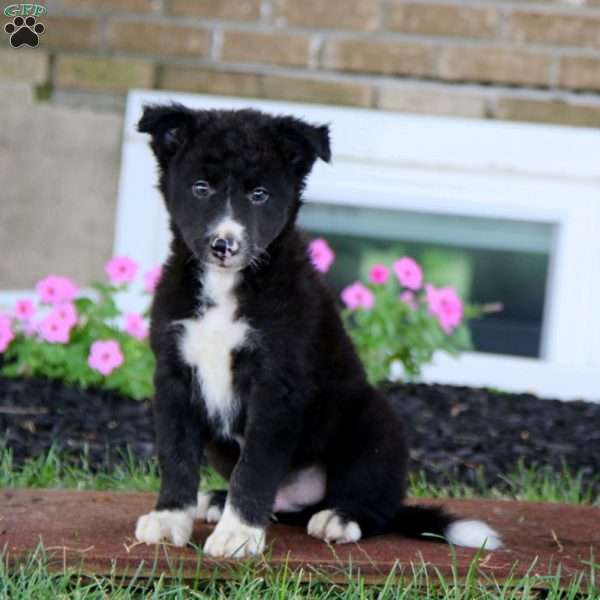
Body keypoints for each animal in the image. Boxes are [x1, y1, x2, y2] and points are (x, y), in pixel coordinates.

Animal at [135, 103, 502, 556]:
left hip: (376, 422)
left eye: (260, 195)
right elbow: (176, 454)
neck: (228, 286)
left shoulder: (276, 385)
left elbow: (254, 466)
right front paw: (170, 518)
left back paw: (340, 518)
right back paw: (217, 501)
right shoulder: (173, 374)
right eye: (200, 188)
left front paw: (238, 535)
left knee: (375, 505)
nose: (224, 245)